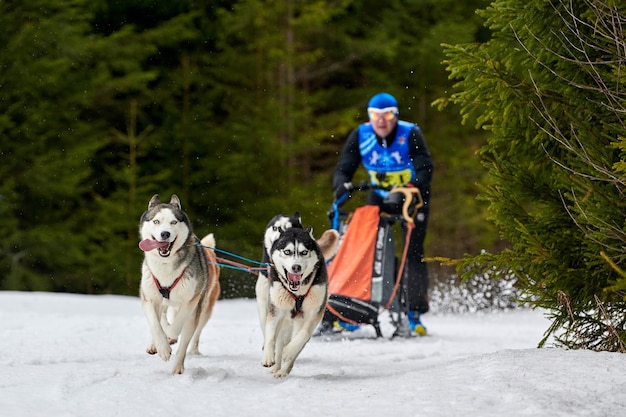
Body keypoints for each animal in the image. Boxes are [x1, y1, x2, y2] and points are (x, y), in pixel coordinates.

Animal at [138, 194, 219, 374]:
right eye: (156, 221)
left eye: (174, 222)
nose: (165, 233)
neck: (165, 267)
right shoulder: (149, 298)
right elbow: (155, 323)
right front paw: (162, 346)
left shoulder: (191, 302)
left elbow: (176, 328)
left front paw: (169, 338)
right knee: (160, 318)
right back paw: (155, 344)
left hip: (203, 309)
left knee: (190, 336)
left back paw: (180, 362)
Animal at [260, 228, 330, 376]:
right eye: (287, 252)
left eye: (304, 252)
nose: (296, 267)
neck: (298, 294)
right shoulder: (275, 310)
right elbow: (270, 336)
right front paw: (268, 356)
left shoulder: (313, 314)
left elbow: (303, 335)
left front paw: (289, 351)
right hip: (283, 323)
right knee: (278, 343)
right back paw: (277, 368)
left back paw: (284, 370)